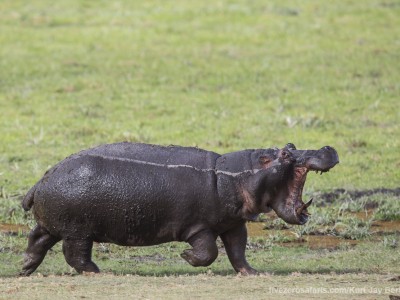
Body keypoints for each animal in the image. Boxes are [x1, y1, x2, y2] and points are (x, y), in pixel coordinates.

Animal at [20, 142, 340, 276]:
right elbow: (208, 252)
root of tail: (40, 180)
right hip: (78, 230)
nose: (327, 148)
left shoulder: (233, 224)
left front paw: (254, 273)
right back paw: (99, 272)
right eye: (285, 153)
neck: (236, 174)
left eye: (290, 143)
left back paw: (25, 268)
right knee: (75, 254)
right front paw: (185, 257)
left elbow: (238, 251)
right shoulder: (199, 227)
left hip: (54, 225)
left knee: (37, 240)